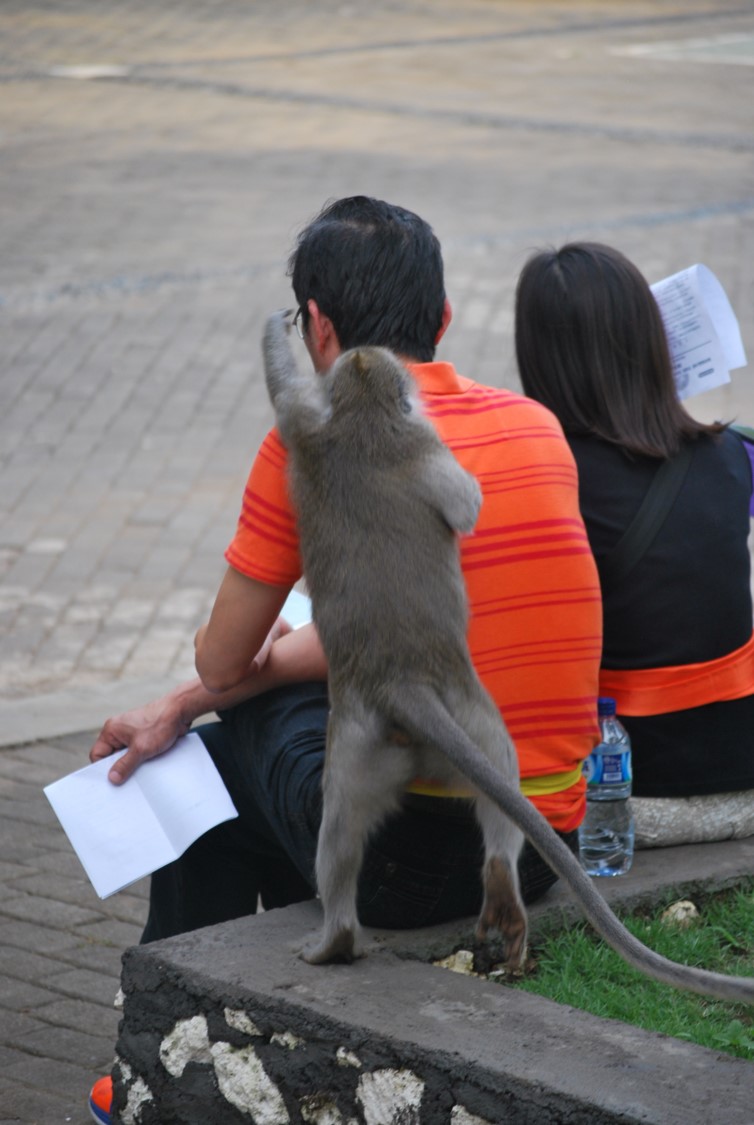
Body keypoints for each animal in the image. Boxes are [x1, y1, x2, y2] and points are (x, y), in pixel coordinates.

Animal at [262, 309, 754, 1006]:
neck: (361, 419)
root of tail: (401, 683)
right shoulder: (415, 448)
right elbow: (465, 504)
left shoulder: (309, 429)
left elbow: (285, 395)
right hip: (440, 712)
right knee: (493, 761)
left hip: (359, 741)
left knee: (343, 832)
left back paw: (341, 935)